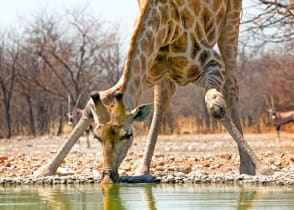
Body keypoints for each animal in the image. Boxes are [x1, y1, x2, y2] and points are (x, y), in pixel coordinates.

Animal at [34, 0, 272, 183]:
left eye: (128, 135)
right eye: (96, 137)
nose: (108, 176)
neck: (164, 25)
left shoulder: (212, 64)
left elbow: (215, 106)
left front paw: (262, 167)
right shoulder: (145, 74)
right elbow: (92, 103)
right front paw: (45, 170)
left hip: (231, 21)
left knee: (232, 87)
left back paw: (246, 166)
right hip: (164, 76)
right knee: (163, 98)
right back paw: (143, 167)